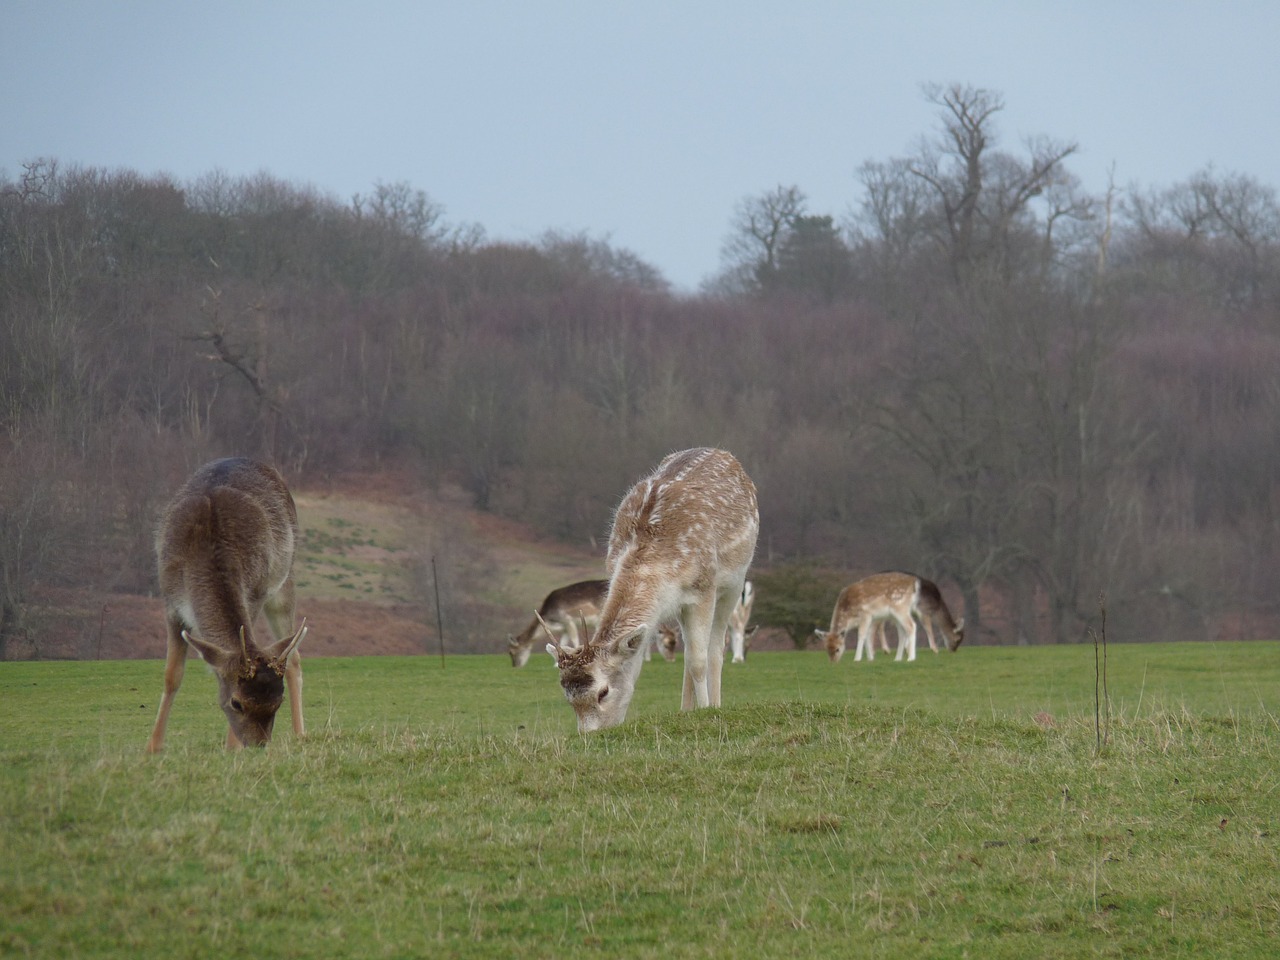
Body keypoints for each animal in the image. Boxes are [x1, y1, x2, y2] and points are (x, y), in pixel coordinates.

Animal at [143, 455, 309, 757]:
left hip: (285, 580)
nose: (257, 745)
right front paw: (153, 746)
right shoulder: (170, 603)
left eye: (277, 703)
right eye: (236, 702)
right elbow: (172, 675)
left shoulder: (254, 593)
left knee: (294, 657)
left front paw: (232, 746)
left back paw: (301, 734)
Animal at [542, 448, 757, 732]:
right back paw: (685, 709)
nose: (590, 735)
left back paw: (715, 702)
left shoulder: (704, 589)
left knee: (716, 646)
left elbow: (699, 661)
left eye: (603, 692)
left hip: (735, 582)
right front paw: (688, 711)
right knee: (688, 652)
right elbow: (682, 656)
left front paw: (706, 710)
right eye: (569, 699)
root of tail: (725, 454)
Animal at [814, 576, 962, 665]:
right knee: (902, 632)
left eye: (838, 649)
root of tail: (915, 584)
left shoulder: (866, 614)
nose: (833, 662)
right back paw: (898, 658)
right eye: (826, 648)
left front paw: (857, 658)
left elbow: (862, 635)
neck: (849, 615)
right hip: (896, 615)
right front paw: (870, 658)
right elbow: (868, 636)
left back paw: (911, 658)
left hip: (900, 608)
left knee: (912, 626)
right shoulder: (872, 618)